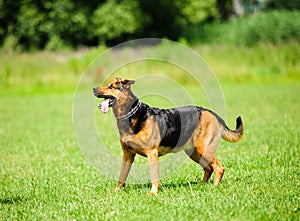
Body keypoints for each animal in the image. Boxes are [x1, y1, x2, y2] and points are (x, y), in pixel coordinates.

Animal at [93, 77, 244, 194]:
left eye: (111, 86)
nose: (94, 89)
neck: (130, 114)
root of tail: (210, 112)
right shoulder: (127, 155)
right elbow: (122, 176)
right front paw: (117, 191)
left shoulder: (152, 153)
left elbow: (154, 176)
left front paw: (153, 193)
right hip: (194, 152)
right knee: (208, 168)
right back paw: (201, 186)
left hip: (204, 148)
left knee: (219, 168)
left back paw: (214, 188)